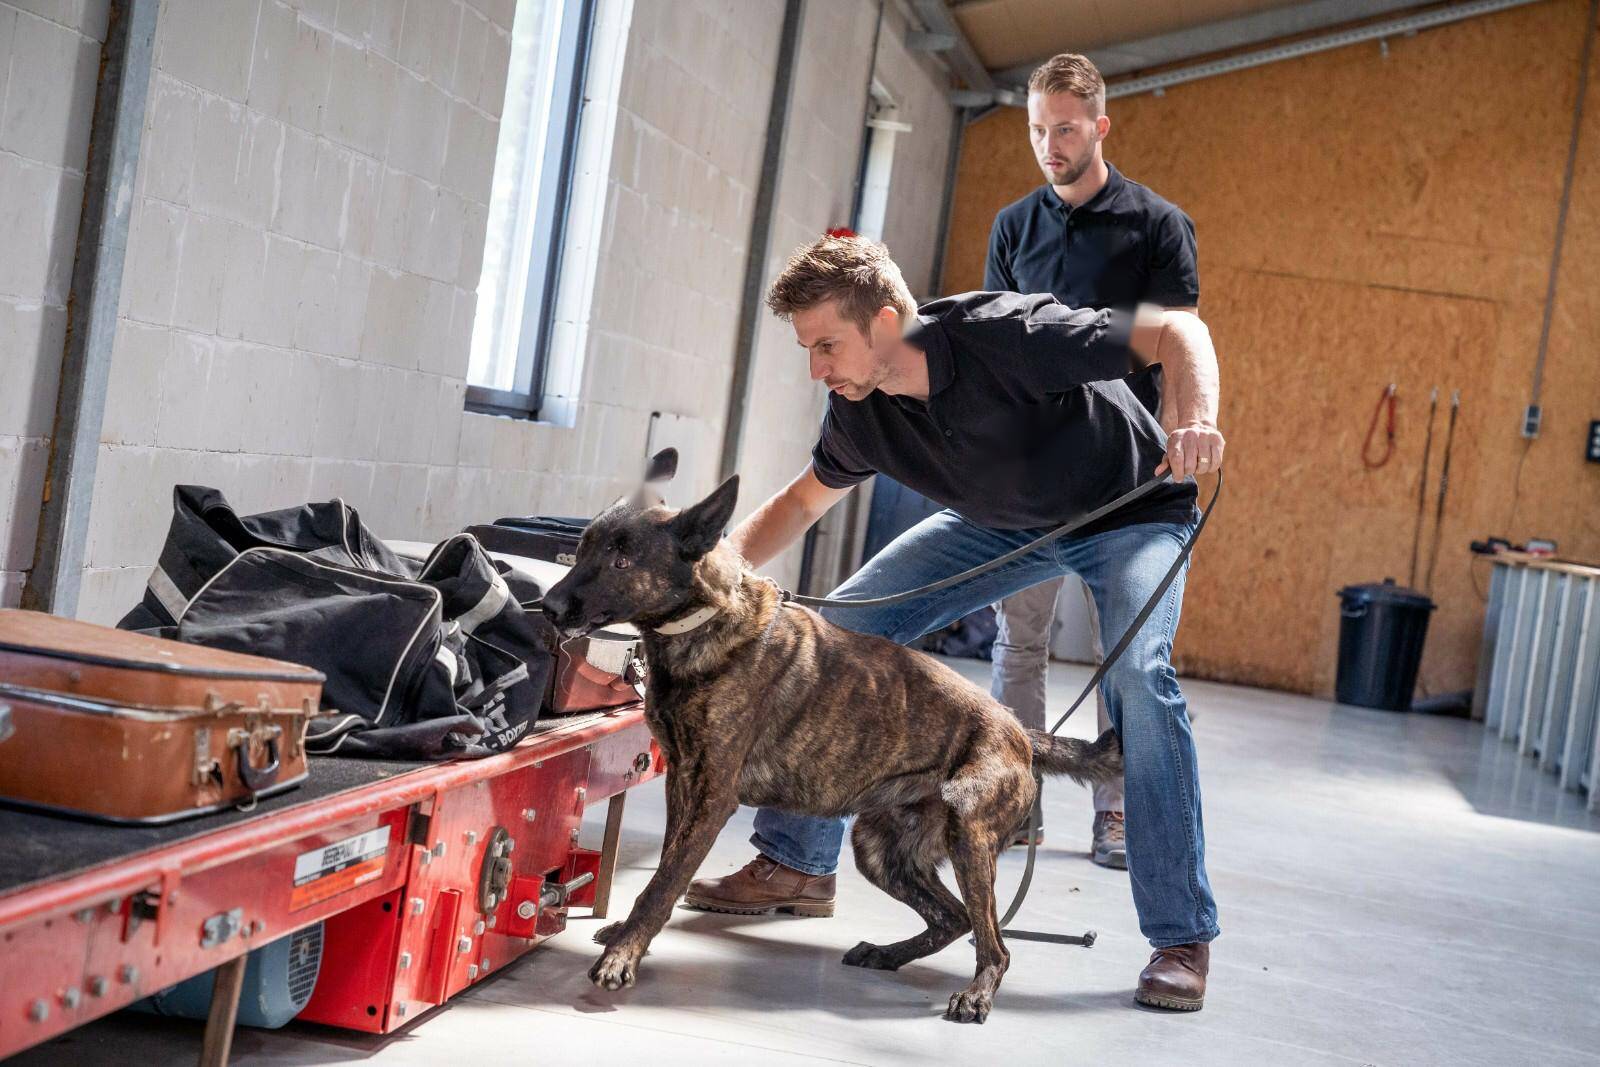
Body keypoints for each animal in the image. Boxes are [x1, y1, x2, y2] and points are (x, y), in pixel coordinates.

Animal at [544, 447, 1120, 1017]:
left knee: (995, 942)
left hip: (968, 836)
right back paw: (887, 954)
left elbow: (663, 883)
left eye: (622, 562)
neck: (710, 620)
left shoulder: (712, 798)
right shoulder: (681, 786)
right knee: (954, 918)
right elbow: (665, 867)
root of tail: (1020, 731)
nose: (547, 608)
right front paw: (627, 936)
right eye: (583, 547)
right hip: (880, 850)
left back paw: (977, 993)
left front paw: (623, 956)